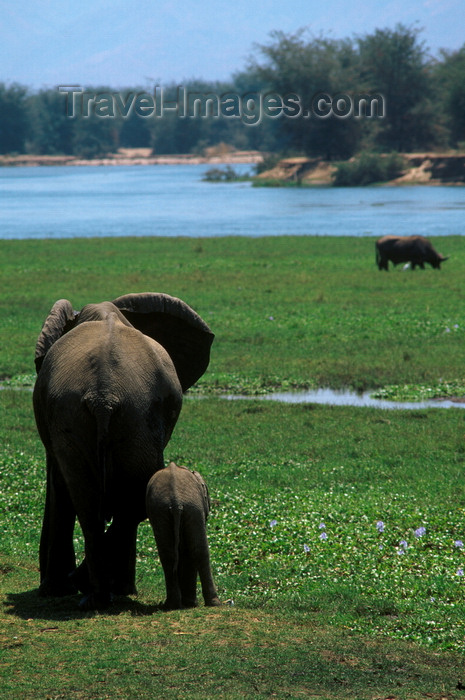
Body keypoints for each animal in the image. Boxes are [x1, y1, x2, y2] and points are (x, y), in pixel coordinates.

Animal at [147, 462, 221, 608]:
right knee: (199, 551)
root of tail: (176, 501)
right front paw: (190, 603)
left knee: (169, 554)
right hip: (193, 507)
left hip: (164, 511)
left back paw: (173, 604)